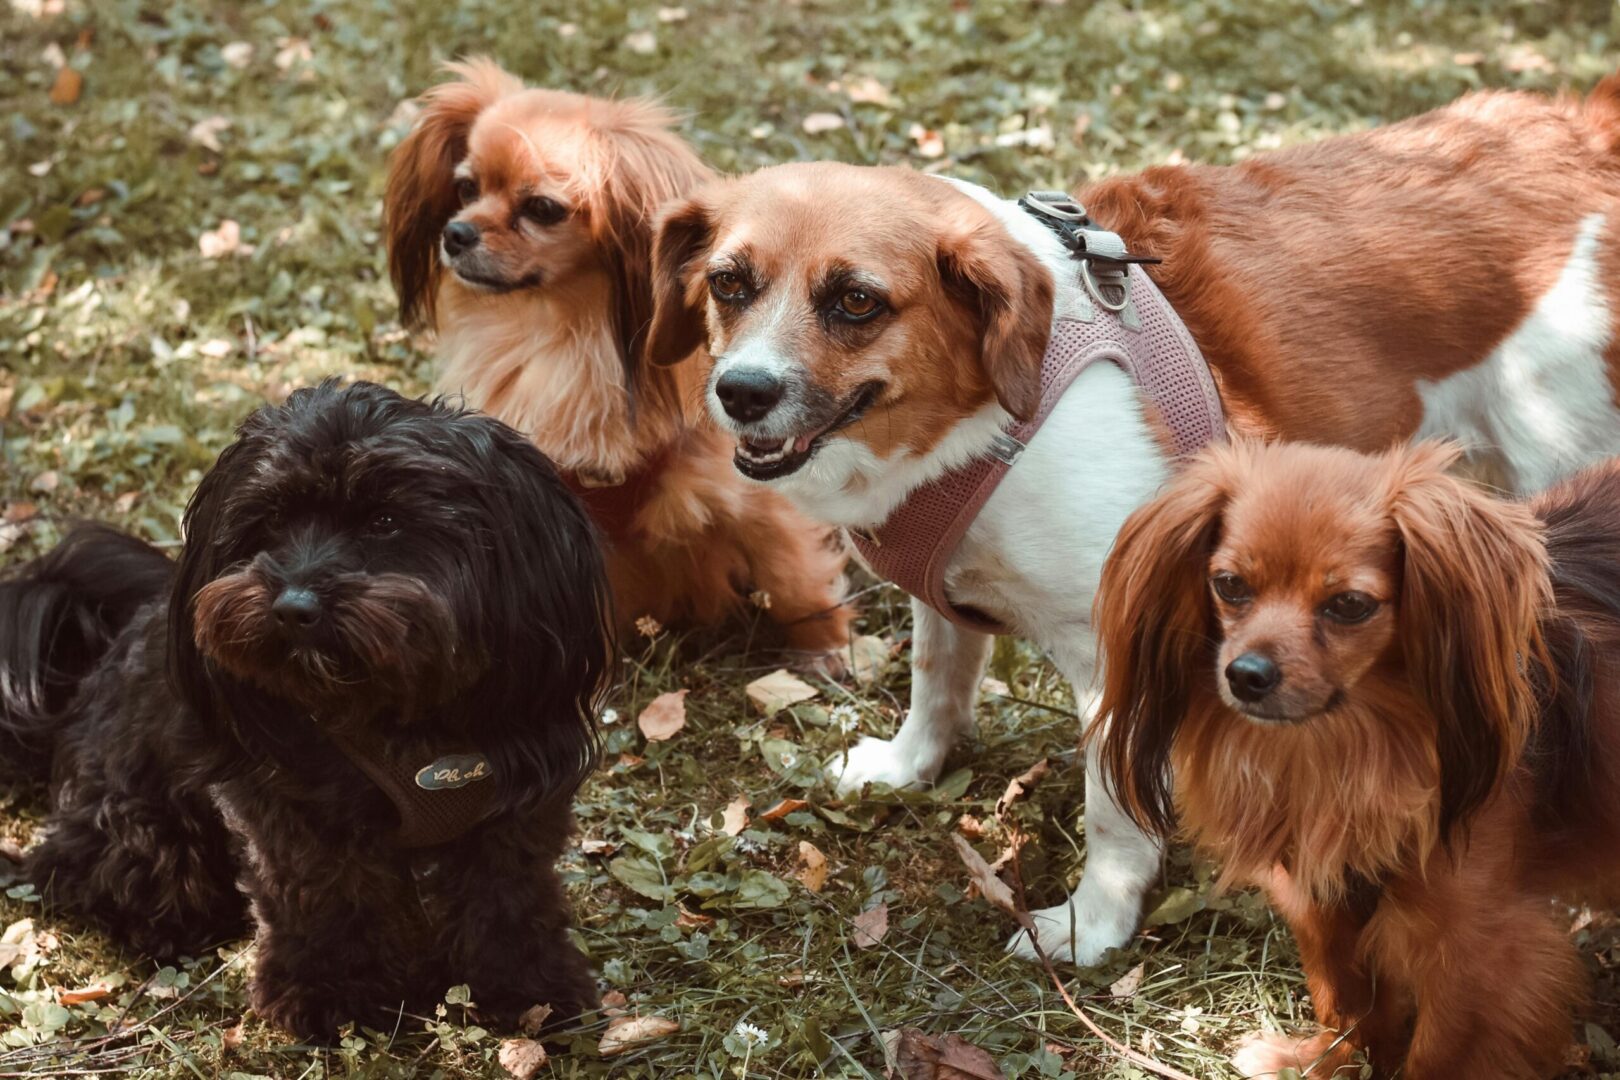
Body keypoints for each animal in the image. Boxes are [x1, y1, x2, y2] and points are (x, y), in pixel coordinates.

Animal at [0, 383, 609, 1042]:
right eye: (271, 521)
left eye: (385, 521)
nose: (295, 607)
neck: (396, 716)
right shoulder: (292, 810)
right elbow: (324, 894)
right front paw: (332, 992)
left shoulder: (513, 798)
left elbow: (509, 896)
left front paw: (533, 992)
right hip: (138, 823)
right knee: (88, 871)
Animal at [383, 63, 855, 667]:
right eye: (466, 188)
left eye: (542, 209)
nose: (456, 232)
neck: (560, 334)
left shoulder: (752, 490)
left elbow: (793, 572)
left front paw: (828, 648)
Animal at [644, 80, 1620, 965]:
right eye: (729, 283)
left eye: (857, 302)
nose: (741, 392)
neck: (998, 412)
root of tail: (1581, 129)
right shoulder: (944, 598)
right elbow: (938, 678)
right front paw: (909, 765)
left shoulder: (1119, 657)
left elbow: (1113, 810)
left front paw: (1094, 924)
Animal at [1088, 440, 1620, 1080]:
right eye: (1230, 585)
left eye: (1348, 604)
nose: (1246, 675)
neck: (1348, 748)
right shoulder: (1322, 897)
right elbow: (1344, 997)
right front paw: (1327, 1063)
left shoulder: (1475, 948)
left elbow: (1439, 1054)